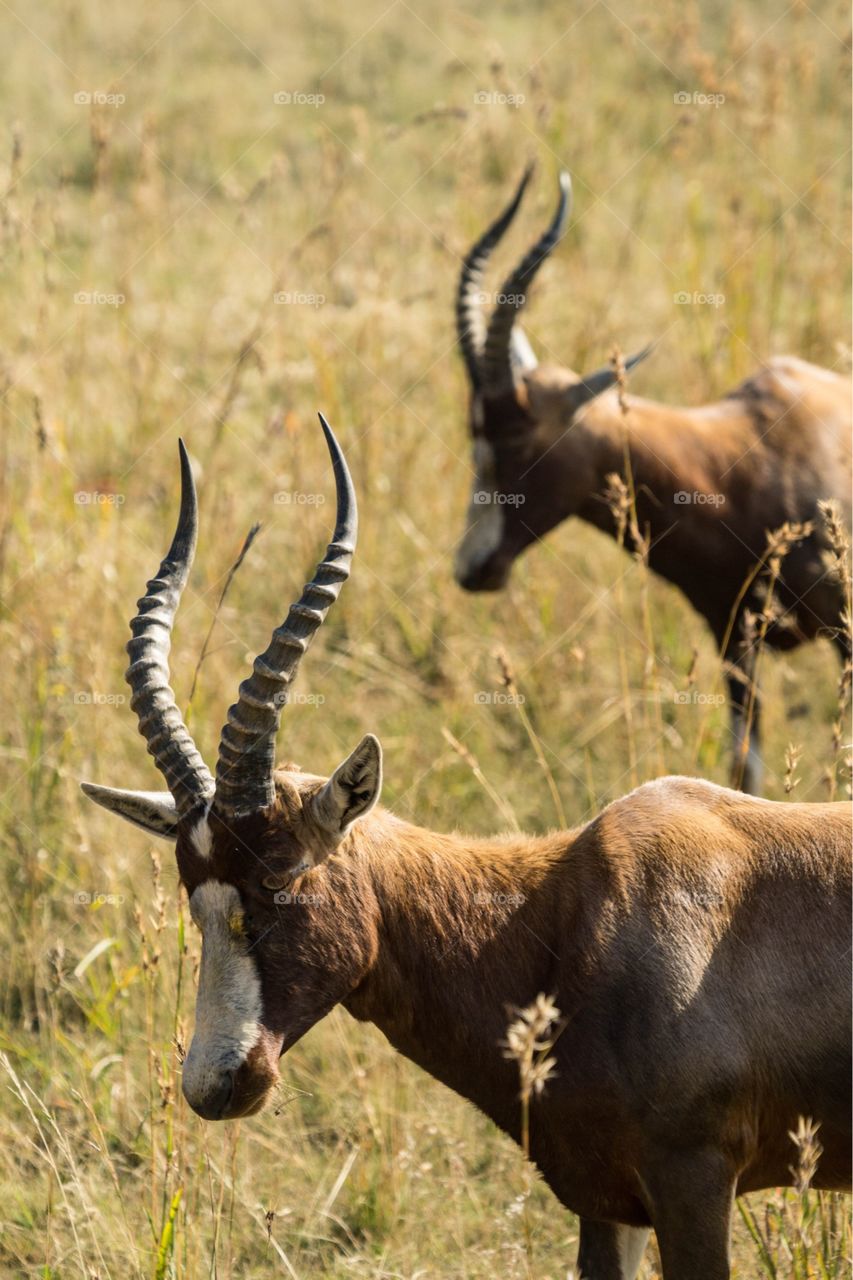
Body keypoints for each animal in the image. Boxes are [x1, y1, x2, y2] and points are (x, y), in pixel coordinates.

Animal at [81, 419, 850, 1280]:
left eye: (282, 875)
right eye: (195, 891)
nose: (213, 1085)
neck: (570, 909)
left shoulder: (692, 1181)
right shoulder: (605, 1199)